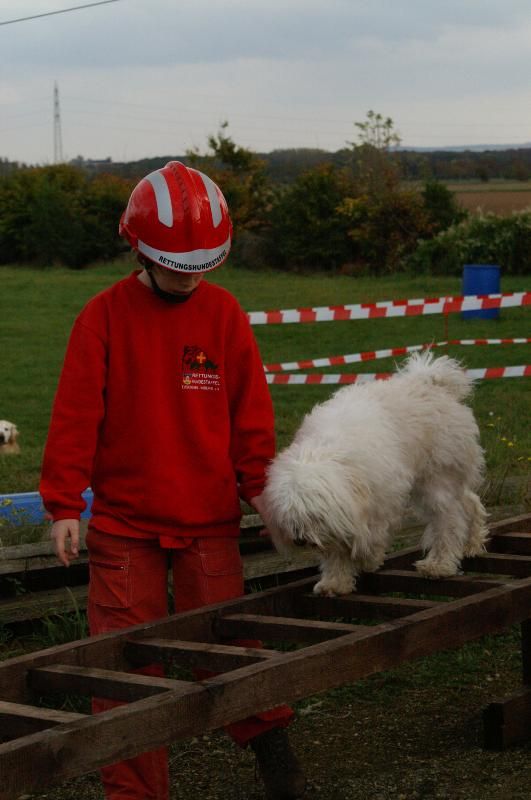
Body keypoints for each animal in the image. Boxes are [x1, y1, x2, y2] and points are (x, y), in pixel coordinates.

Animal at [263, 352, 488, 596]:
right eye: (290, 516)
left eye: (314, 516)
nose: (299, 539)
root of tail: (432, 383)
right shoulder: (344, 516)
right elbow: (336, 550)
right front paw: (334, 582)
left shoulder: (379, 500)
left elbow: (370, 536)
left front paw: (367, 559)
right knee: (469, 502)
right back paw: (472, 544)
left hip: (437, 479)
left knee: (449, 520)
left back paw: (439, 565)